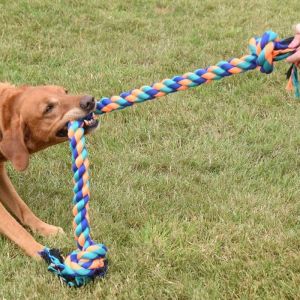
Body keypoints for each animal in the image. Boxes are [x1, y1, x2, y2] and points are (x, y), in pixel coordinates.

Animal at [0, 82, 97, 258]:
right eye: (48, 108)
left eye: (65, 92)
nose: (89, 100)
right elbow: (15, 228)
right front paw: (39, 251)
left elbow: (23, 209)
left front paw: (44, 229)